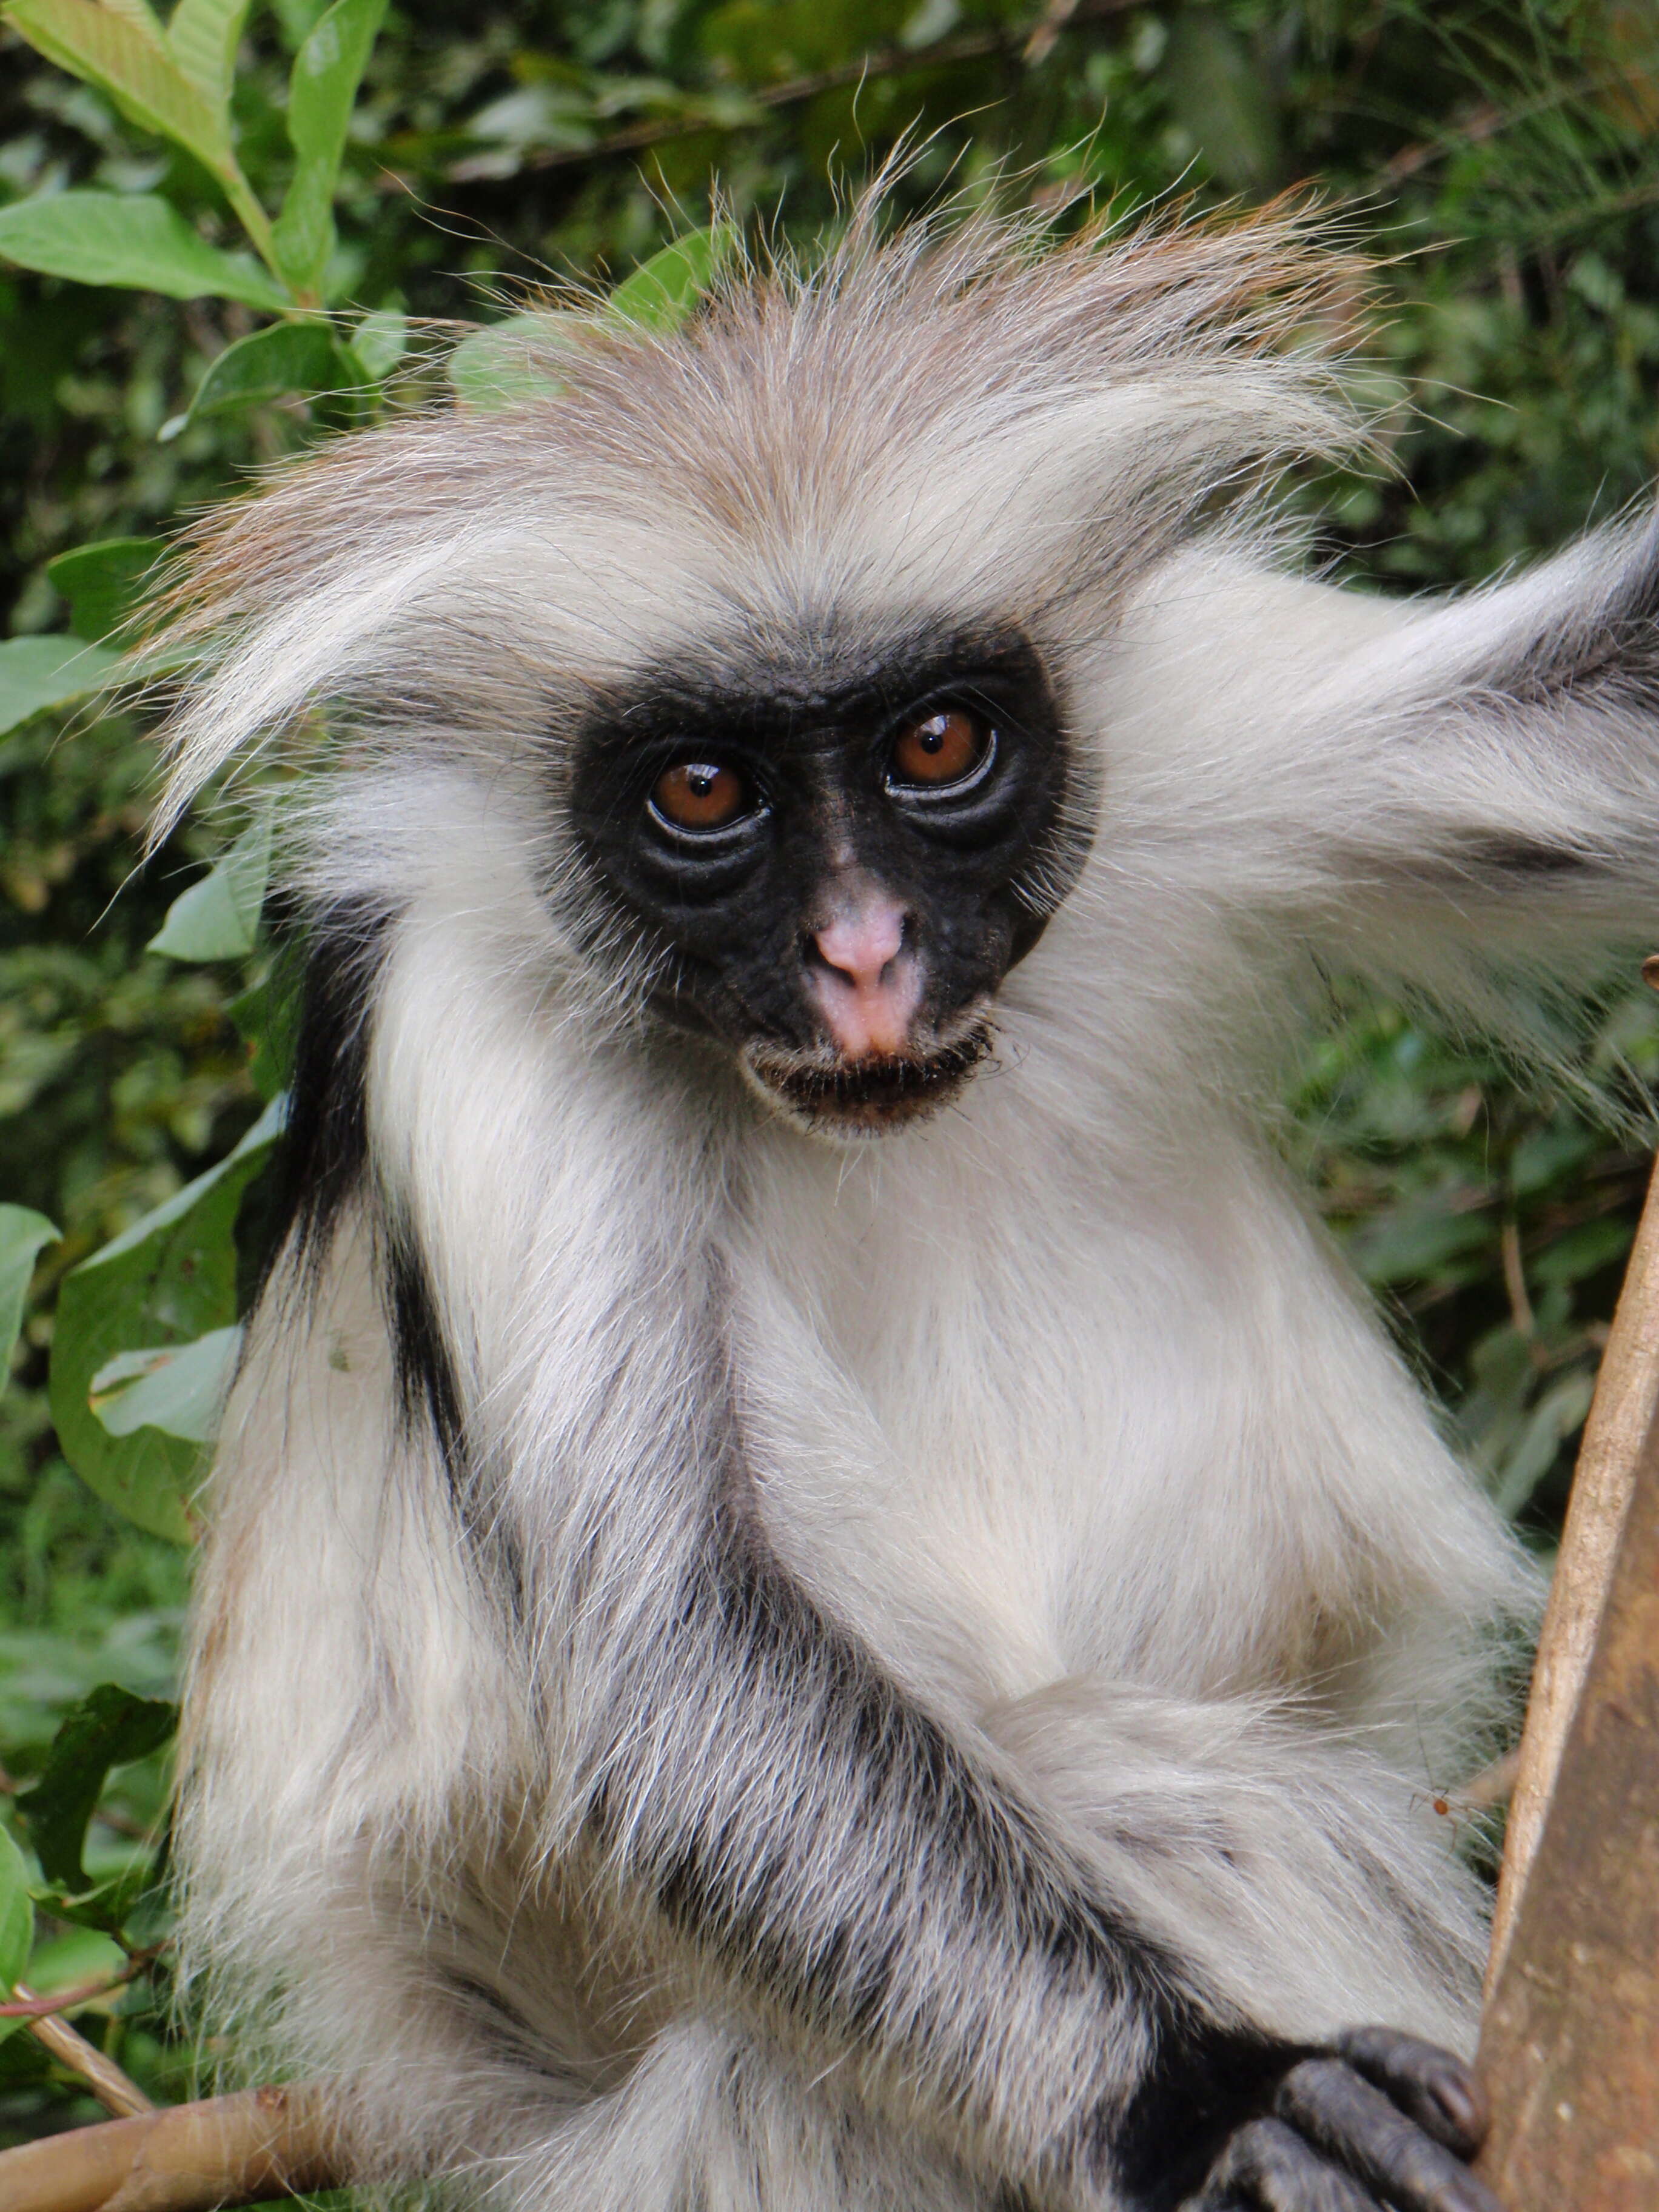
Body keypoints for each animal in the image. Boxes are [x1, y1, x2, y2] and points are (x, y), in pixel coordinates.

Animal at [146, 199, 1659, 2203]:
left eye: (935, 748)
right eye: (703, 789)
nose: (864, 960)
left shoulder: (1173, 706)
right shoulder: (471, 1006)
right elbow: (682, 1668)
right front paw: (1218, 2105)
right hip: (721, 2132)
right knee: (1135, 1778)